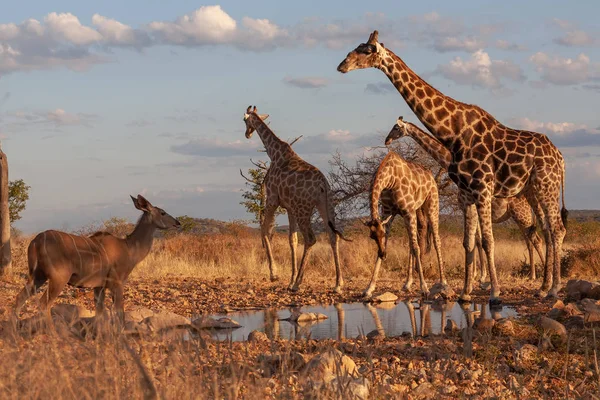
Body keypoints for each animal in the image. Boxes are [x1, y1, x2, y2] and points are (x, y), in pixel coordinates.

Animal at [12, 195, 179, 320]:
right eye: (163, 212)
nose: (177, 223)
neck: (129, 248)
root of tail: (36, 241)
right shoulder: (117, 284)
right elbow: (119, 313)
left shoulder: (99, 287)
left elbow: (101, 313)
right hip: (58, 278)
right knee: (43, 304)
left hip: (37, 276)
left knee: (19, 299)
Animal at [241, 106, 350, 294]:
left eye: (244, 120)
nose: (247, 134)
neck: (274, 153)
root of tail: (323, 184)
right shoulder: (289, 208)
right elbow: (292, 240)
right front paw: (289, 280)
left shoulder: (272, 199)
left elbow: (265, 231)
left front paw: (275, 275)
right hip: (326, 205)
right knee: (332, 236)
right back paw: (338, 284)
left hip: (303, 208)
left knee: (311, 238)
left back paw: (299, 283)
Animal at [360, 150, 446, 296]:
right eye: (372, 237)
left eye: (382, 234)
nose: (384, 255)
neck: (390, 179)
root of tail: (431, 176)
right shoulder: (388, 213)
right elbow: (404, 245)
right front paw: (369, 288)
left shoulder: (407, 211)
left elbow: (417, 247)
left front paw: (424, 287)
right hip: (415, 210)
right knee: (412, 242)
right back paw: (407, 283)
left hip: (431, 206)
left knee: (436, 241)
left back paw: (443, 281)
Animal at [386, 117, 548, 282]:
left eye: (396, 128)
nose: (387, 140)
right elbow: (475, 240)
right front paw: (478, 275)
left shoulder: (468, 206)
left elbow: (477, 241)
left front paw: (481, 276)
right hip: (521, 217)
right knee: (530, 240)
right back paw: (533, 275)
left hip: (522, 215)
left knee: (536, 240)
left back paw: (541, 274)